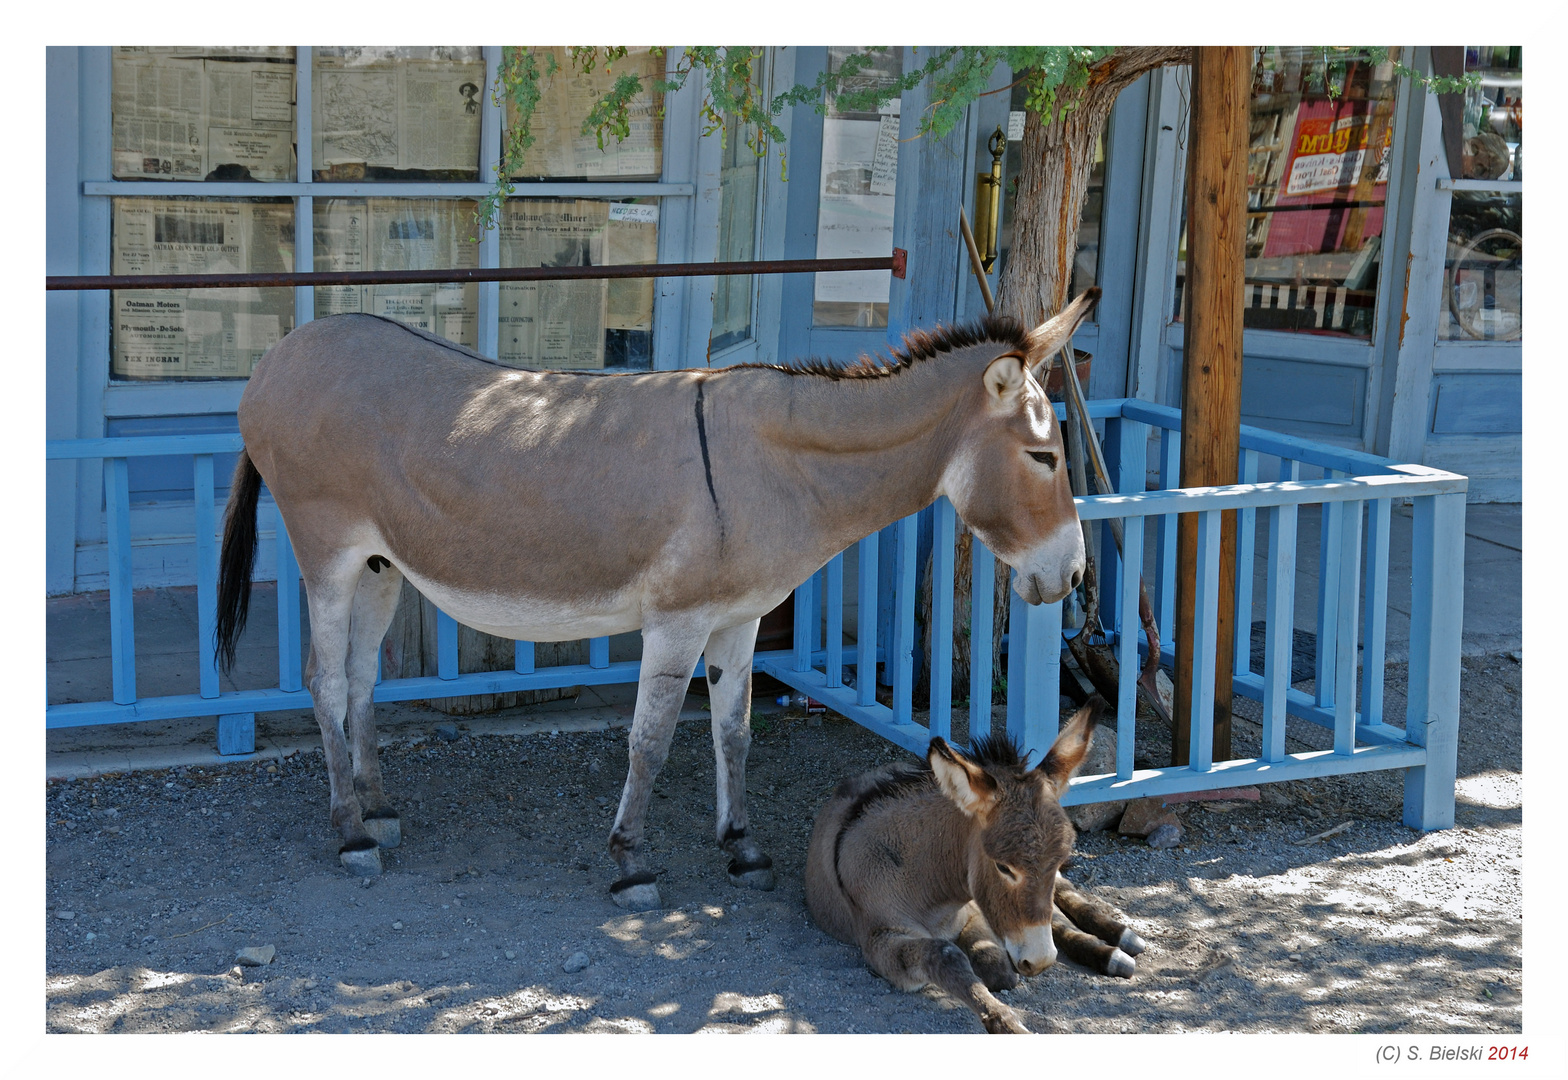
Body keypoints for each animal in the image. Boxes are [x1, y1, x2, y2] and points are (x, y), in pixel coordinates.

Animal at [809, 695, 1141, 1034]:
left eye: (1060, 857)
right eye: (1003, 867)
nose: (1039, 961)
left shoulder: (976, 911)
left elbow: (998, 966)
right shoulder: (881, 939)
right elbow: (950, 956)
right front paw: (1008, 1023)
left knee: (1063, 905)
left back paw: (1118, 941)